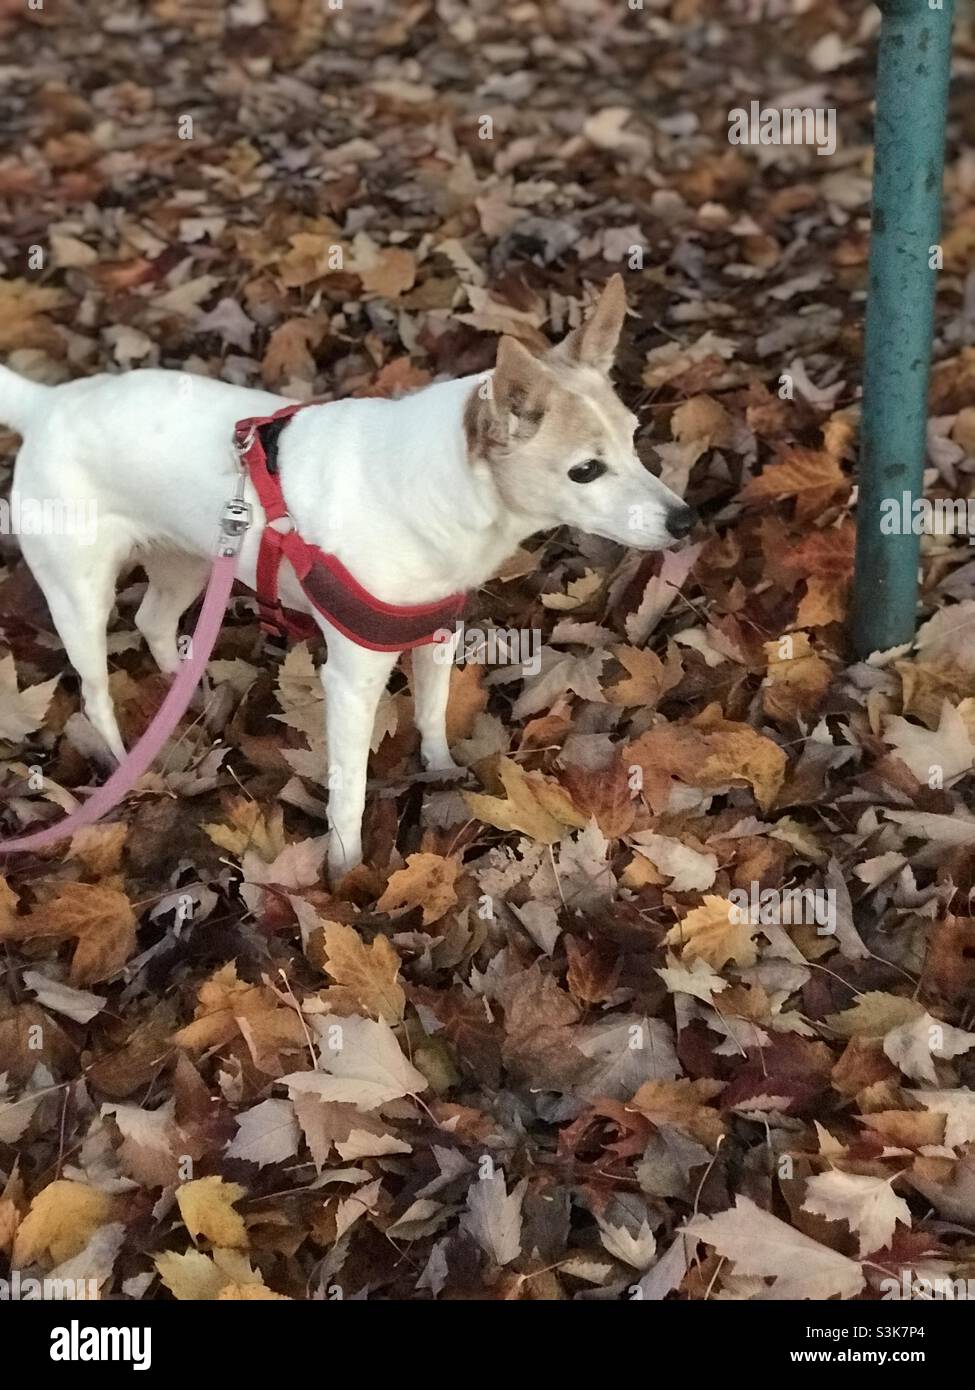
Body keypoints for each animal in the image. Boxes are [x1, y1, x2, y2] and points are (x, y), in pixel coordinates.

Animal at [0, 276, 692, 872]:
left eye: (635, 438)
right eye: (585, 471)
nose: (686, 519)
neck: (435, 487)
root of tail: (49, 403)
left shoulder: (436, 635)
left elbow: (432, 715)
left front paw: (439, 771)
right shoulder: (352, 681)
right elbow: (350, 790)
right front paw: (347, 871)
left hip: (193, 560)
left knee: (153, 619)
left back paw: (184, 691)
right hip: (80, 594)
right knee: (95, 690)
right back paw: (126, 766)